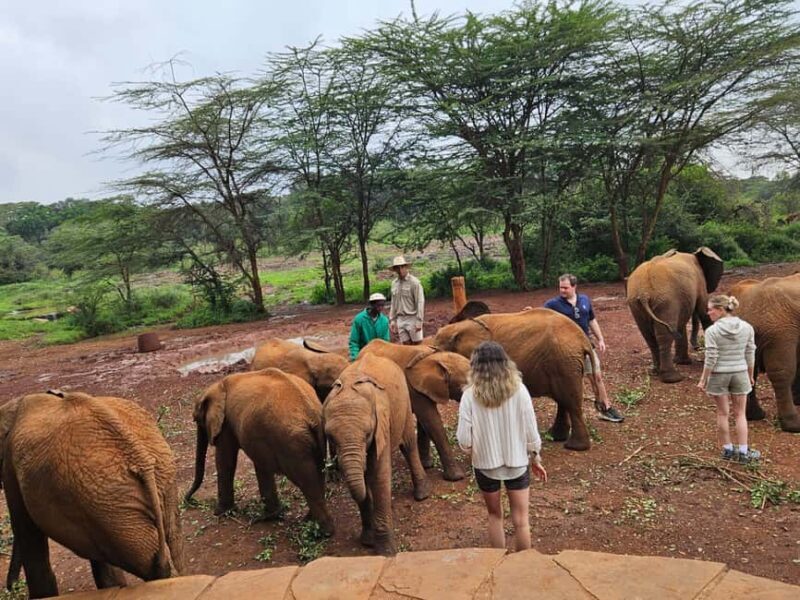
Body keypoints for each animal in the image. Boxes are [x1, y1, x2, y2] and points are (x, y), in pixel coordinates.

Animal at [184, 368, 333, 534]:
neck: (218, 386)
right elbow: (260, 465)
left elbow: (226, 462)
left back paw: (322, 533)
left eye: (197, 419)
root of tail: (311, 414)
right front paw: (271, 516)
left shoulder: (226, 424)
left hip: (293, 443)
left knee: (307, 482)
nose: (189, 500)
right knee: (317, 474)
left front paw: (220, 513)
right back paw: (308, 521)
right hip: (311, 438)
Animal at [322, 353, 431, 555]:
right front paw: (367, 541)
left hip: (404, 402)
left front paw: (385, 552)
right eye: (330, 437)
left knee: (408, 445)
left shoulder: (382, 426)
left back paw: (422, 495)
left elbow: (380, 477)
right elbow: (363, 484)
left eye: (367, 434)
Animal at [358, 339, 470, 481]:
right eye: (464, 389)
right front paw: (457, 477)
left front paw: (427, 465)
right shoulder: (413, 389)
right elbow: (432, 421)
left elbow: (425, 423)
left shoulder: (424, 388)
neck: (434, 358)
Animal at [432, 309, 597, 451]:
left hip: (564, 361)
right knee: (563, 400)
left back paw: (574, 446)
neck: (459, 327)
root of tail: (584, 339)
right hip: (565, 363)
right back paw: (556, 437)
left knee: (569, 401)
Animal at [626, 247, 723, 383]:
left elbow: (681, 323)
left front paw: (682, 362)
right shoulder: (700, 282)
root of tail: (644, 292)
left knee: (649, 336)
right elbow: (704, 313)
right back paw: (673, 378)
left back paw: (656, 372)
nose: (697, 347)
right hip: (665, 301)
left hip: (636, 303)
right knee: (665, 335)